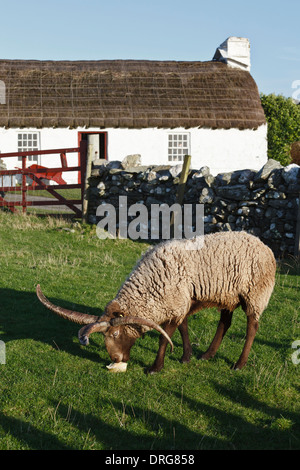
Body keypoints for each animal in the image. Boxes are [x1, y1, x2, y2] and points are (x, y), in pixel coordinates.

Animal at [36, 229, 276, 372]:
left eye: (115, 334)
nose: (116, 359)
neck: (150, 284)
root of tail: (263, 244)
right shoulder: (179, 302)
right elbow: (183, 328)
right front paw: (186, 357)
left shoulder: (176, 303)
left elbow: (164, 338)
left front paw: (155, 367)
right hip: (228, 295)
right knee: (225, 323)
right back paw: (208, 355)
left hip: (255, 294)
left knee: (252, 327)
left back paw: (239, 364)